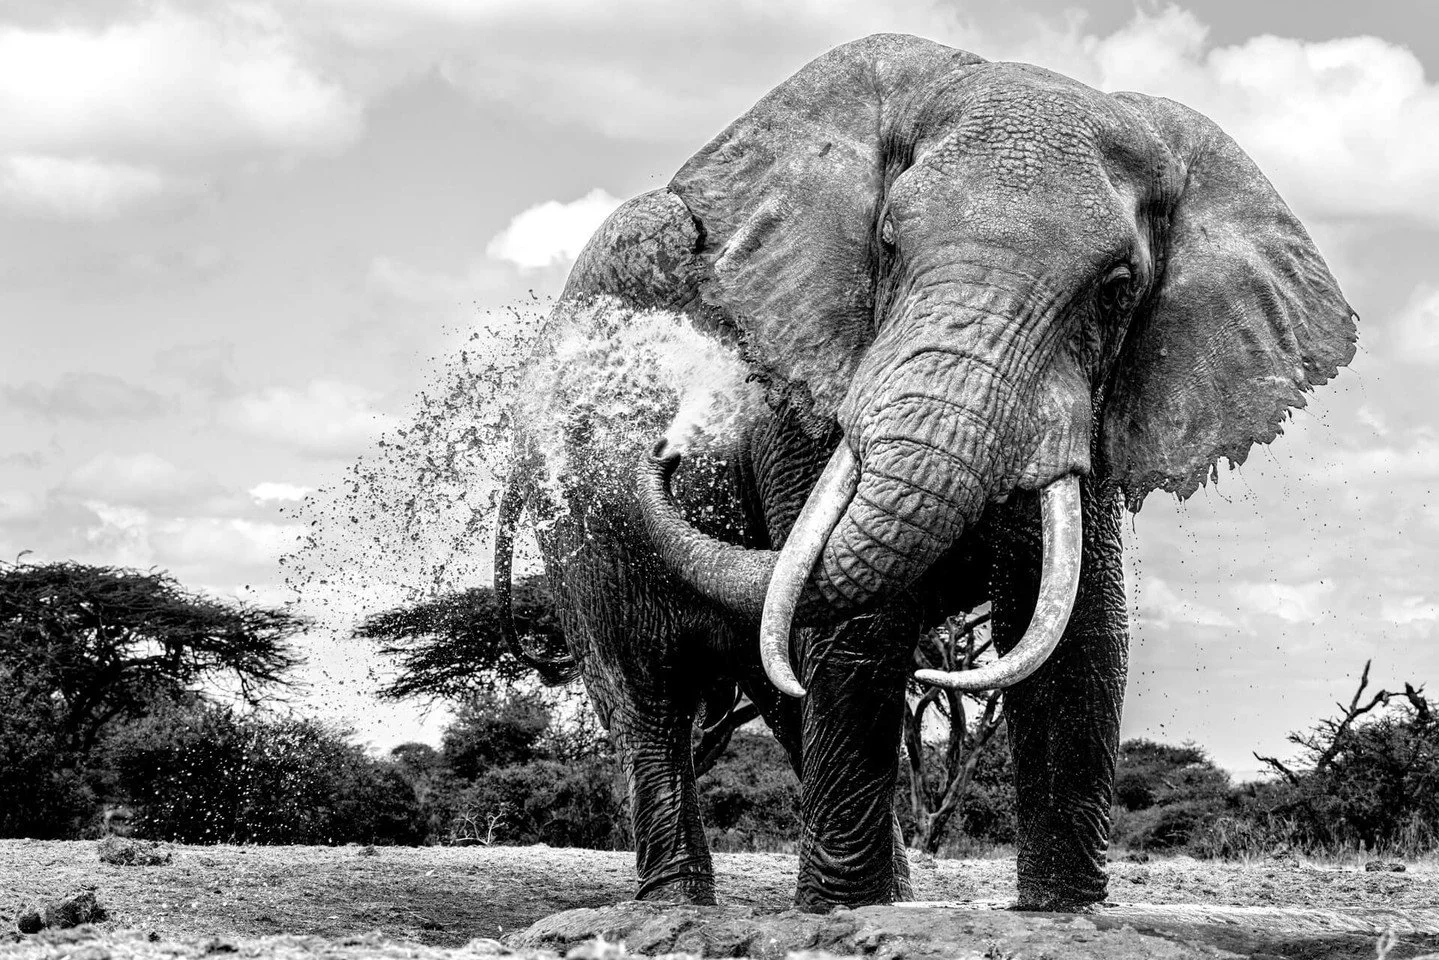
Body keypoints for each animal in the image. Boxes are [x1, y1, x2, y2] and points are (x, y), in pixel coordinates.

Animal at [492, 33, 1356, 912]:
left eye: (1116, 289)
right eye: (885, 245)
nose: (663, 446)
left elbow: (1072, 627)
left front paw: (1060, 911)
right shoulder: (803, 378)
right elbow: (857, 629)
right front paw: (841, 912)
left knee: (776, 684)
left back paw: (890, 893)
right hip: (576, 517)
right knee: (645, 692)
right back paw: (680, 903)